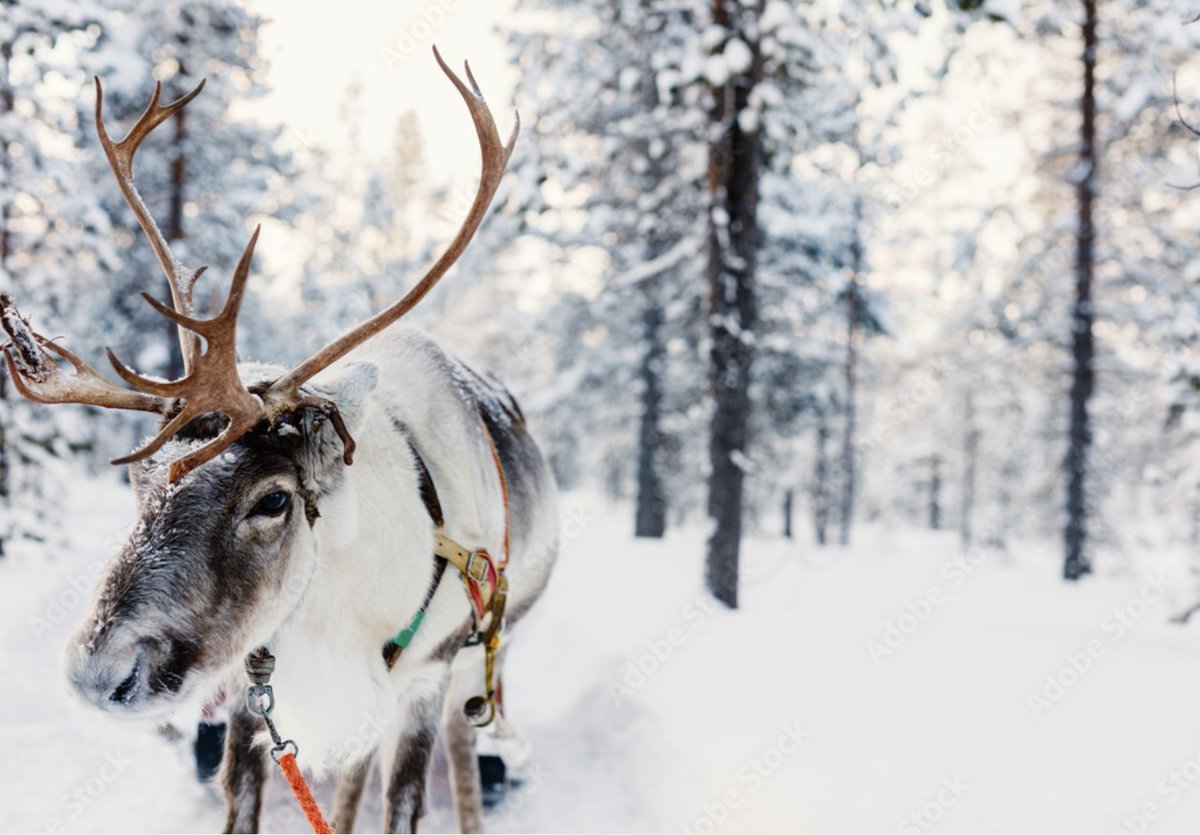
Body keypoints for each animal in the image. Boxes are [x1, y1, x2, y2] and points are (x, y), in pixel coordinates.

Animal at [0, 49, 558, 834]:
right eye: (140, 481)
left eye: (272, 500)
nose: (96, 675)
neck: (341, 605)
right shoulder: (254, 685)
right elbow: (247, 800)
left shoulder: (425, 677)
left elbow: (406, 800)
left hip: (481, 659)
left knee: (464, 741)